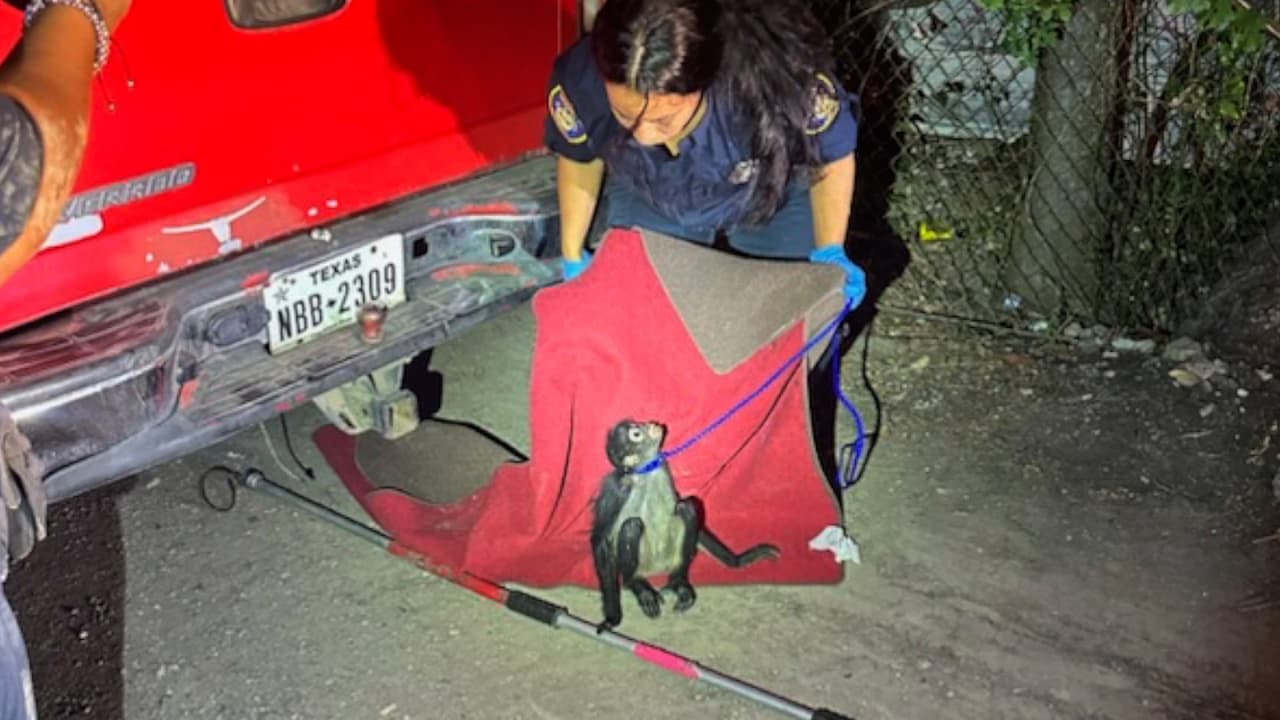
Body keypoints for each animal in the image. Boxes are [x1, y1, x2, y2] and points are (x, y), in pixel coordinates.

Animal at [590, 419, 781, 631]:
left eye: (637, 425)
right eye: (636, 434)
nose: (649, 425)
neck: (646, 472)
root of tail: (658, 568)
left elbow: (685, 506)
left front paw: (741, 560)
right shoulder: (618, 486)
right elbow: (600, 539)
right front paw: (612, 619)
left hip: (671, 554)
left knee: (687, 507)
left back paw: (678, 581)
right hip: (643, 560)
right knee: (631, 526)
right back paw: (638, 585)